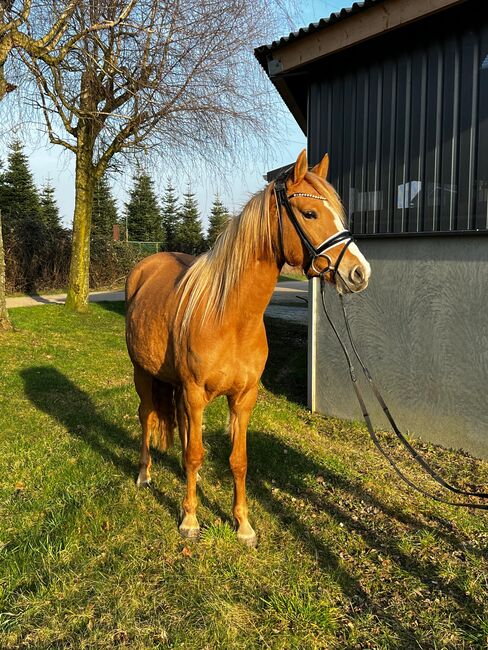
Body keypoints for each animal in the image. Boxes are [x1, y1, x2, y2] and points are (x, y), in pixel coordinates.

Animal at [125, 149, 370, 544]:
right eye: (310, 213)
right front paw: (189, 520)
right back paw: (145, 473)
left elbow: (236, 460)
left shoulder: (244, 397)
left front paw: (243, 524)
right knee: (147, 416)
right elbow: (195, 454)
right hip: (143, 374)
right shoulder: (196, 393)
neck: (229, 317)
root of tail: (144, 267)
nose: (359, 273)